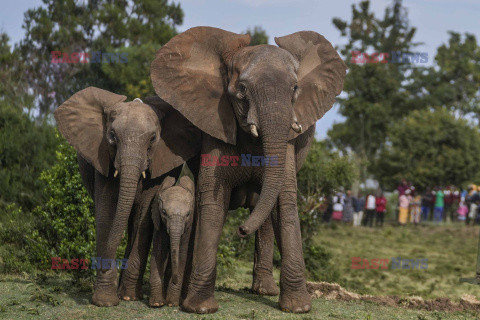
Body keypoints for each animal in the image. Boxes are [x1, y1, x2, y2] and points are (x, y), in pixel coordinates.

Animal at [150, 175, 195, 308]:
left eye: (188, 214)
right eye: (164, 212)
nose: (175, 279)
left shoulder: (188, 227)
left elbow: (182, 255)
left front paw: (172, 303)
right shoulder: (159, 224)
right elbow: (158, 253)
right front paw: (157, 303)